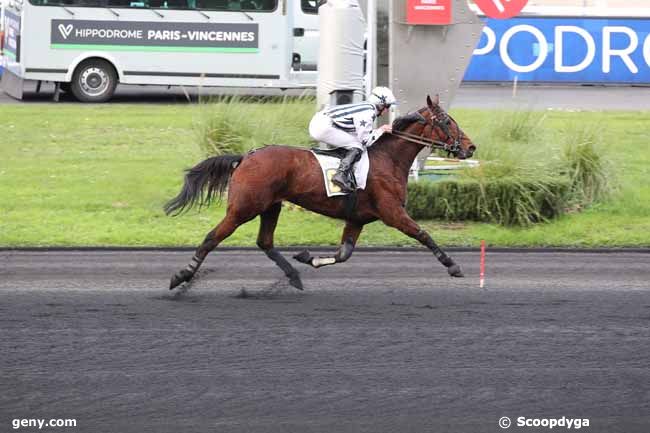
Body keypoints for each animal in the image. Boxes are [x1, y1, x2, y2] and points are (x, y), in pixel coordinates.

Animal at [165, 95, 474, 290]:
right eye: (447, 121)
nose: (470, 148)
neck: (389, 159)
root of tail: (245, 157)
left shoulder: (357, 219)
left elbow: (343, 253)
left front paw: (306, 258)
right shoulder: (393, 213)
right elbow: (423, 234)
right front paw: (453, 265)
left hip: (270, 206)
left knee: (265, 242)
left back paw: (293, 275)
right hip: (244, 208)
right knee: (212, 237)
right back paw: (181, 275)